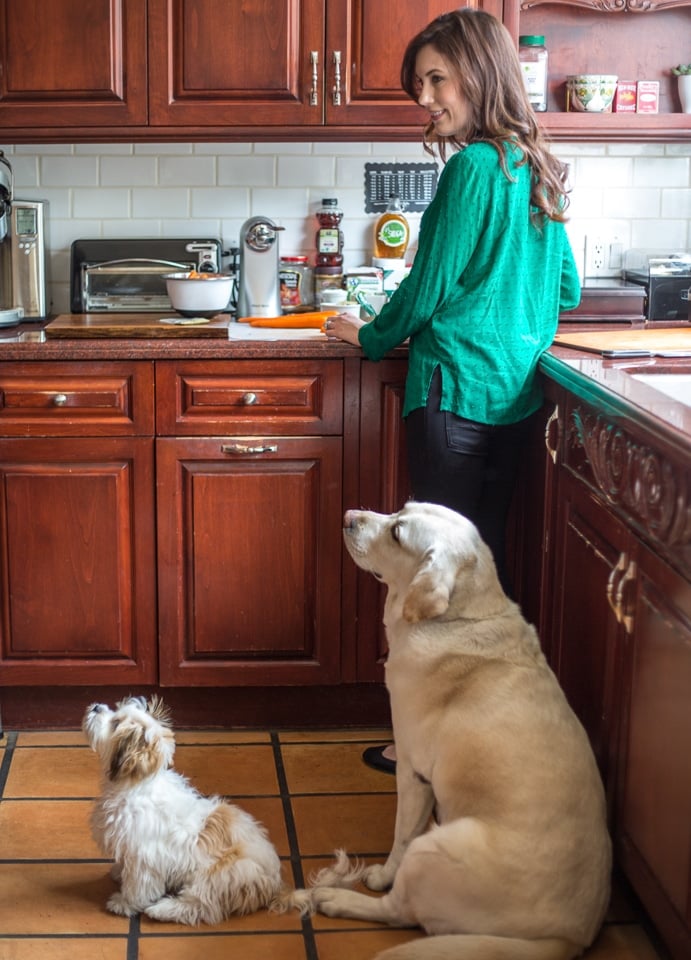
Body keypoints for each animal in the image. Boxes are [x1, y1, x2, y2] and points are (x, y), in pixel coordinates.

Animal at [83, 692, 284, 928]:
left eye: (115, 723)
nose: (97, 707)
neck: (135, 786)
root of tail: (274, 884)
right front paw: (118, 872)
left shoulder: (144, 858)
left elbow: (138, 888)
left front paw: (124, 903)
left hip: (217, 877)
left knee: (200, 907)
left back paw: (161, 910)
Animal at [292, 502, 612, 960]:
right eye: (401, 508)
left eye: (397, 532)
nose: (349, 515)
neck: (461, 617)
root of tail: (568, 939)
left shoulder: (412, 771)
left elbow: (401, 835)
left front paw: (383, 874)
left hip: (435, 848)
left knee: (398, 911)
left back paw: (339, 898)